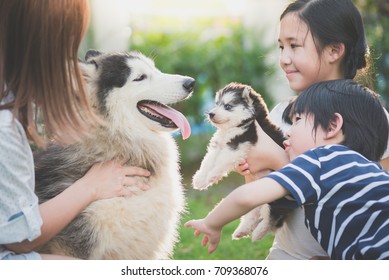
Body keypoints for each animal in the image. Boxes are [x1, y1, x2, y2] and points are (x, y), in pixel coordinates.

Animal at [192, 82, 286, 241]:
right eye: (216, 104)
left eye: (228, 106)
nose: (211, 114)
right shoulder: (218, 146)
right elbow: (208, 161)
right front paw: (200, 179)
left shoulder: (238, 144)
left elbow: (220, 162)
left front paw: (212, 176)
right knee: (254, 212)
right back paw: (242, 230)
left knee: (273, 214)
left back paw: (258, 232)